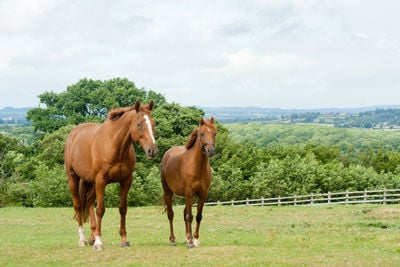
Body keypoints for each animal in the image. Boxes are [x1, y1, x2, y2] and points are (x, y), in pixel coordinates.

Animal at [64, 100, 158, 251]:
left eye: (153, 124)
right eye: (139, 124)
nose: (152, 151)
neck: (115, 146)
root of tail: (73, 133)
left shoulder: (126, 181)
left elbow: (123, 209)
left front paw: (124, 239)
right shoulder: (101, 180)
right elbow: (100, 210)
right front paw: (99, 242)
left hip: (91, 182)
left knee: (89, 202)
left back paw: (92, 236)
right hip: (74, 178)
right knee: (78, 206)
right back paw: (82, 239)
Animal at [160, 117, 219, 249]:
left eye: (214, 133)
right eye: (201, 134)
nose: (210, 150)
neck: (198, 166)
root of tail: (167, 153)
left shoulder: (202, 194)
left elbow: (198, 216)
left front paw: (195, 239)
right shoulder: (189, 192)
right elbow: (189, 216)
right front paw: (191, 242)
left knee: (184, 214)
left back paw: (187, 237)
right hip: (169, 193)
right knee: (171, 215)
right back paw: (173, 240)